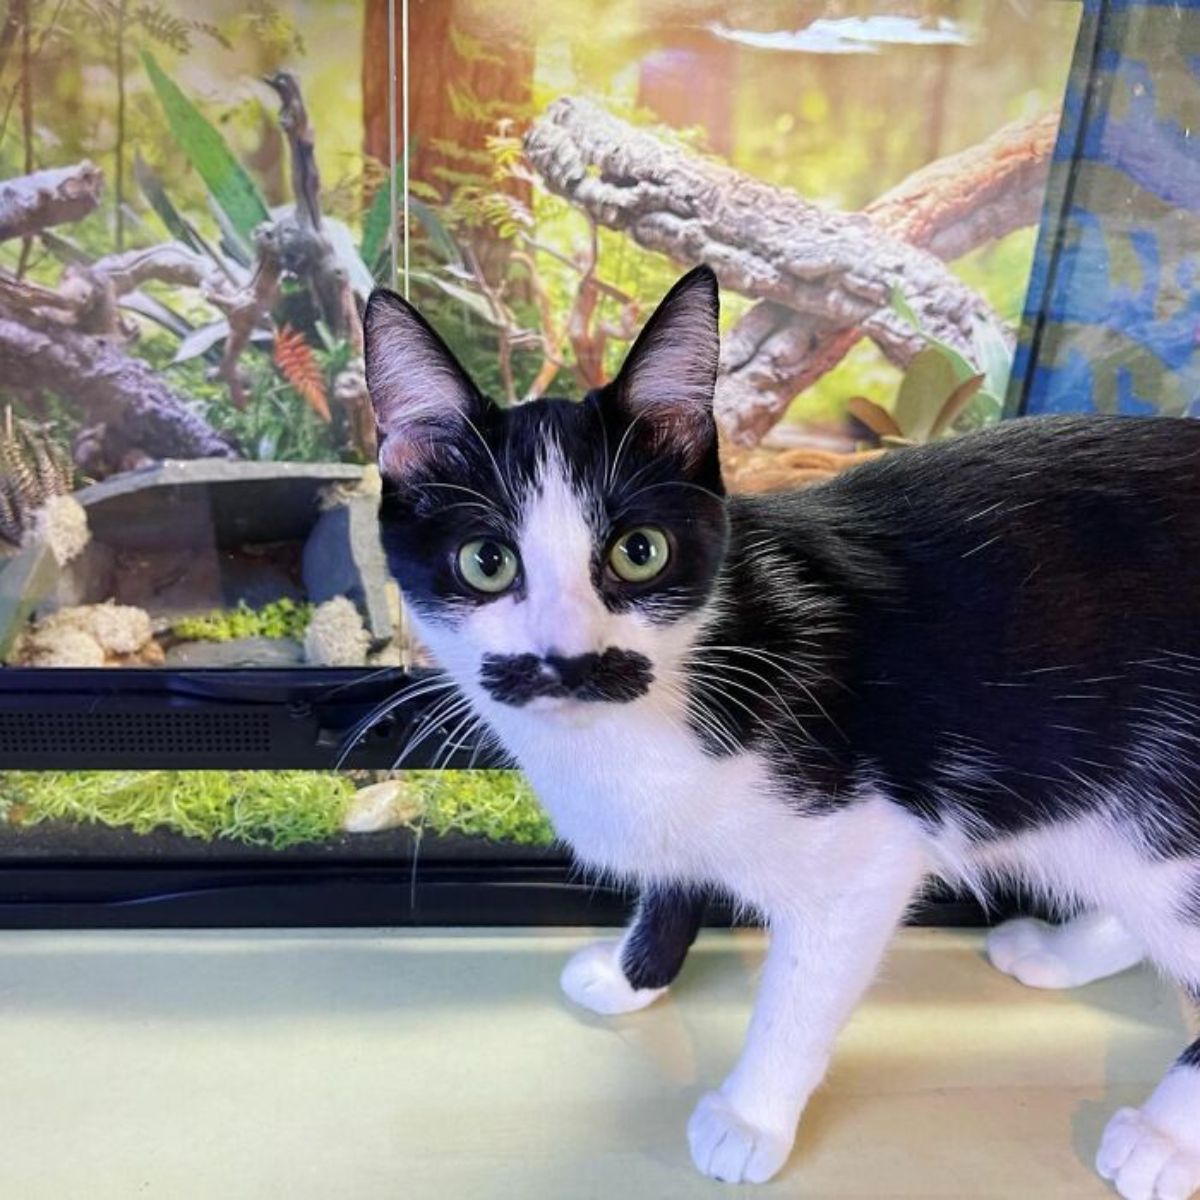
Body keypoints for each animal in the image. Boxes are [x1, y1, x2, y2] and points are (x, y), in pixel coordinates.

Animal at [362, 265, 1200, 1200]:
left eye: (640, 551)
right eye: (486, 562)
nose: (569, 660)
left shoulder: (866, 857)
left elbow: (799, 995)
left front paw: (751, 1116)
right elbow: (674, 880)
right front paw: (632, 975)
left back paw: (1163, 1138)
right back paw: (1064, 951)